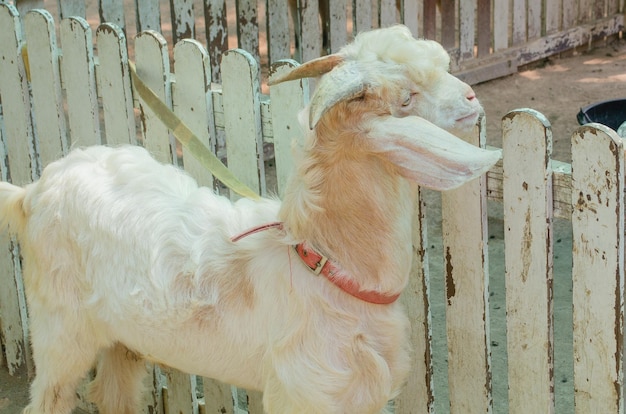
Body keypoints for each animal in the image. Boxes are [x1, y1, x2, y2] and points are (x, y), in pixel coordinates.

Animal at [0, 25, 498, 414]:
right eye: (407, 97)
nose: (473, 96)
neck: (322, 263)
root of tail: (33, 192)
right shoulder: (302, 395)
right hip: (60, 327)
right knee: (50, 395)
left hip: (124, 337)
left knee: (112, 393)